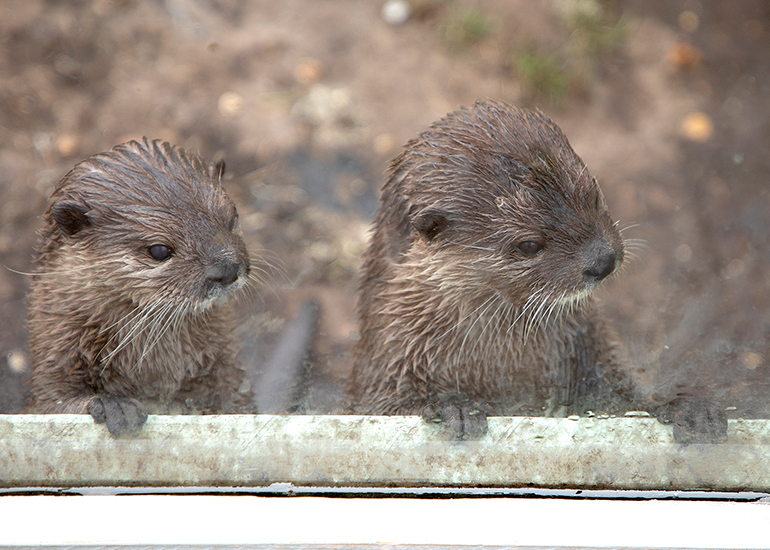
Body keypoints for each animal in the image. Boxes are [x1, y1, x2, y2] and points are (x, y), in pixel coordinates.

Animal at [27, 138, 255, 437]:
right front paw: (113, 405)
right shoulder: (55, 351)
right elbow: (51, 402)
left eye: (231, 220)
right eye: (159, 250)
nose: (226, 270)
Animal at [348, 100, 639, 439]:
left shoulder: (593, 341)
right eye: (529, 245)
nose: (602, 261)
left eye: (592, 195)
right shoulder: (385, 366)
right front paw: (453, 408)